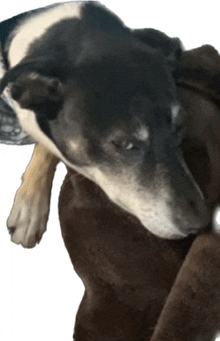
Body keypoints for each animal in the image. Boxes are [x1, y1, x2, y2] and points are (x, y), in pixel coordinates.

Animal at [0, 1, 220, 338]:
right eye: (125, 143)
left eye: (179, 127)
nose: (199, 225)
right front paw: (30, 206)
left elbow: (47, 146)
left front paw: (30, 206)